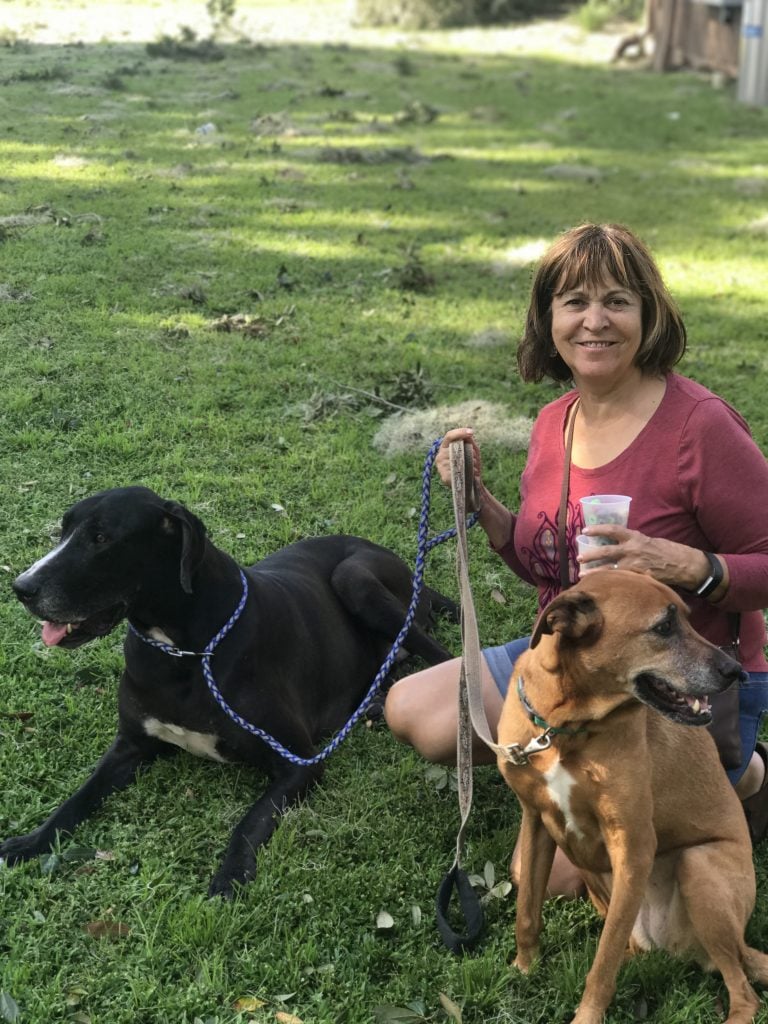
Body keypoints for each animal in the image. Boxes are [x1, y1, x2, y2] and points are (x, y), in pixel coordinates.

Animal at [1, 487, 456, 897]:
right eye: (63, 531)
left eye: (101, 538)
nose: (22, 587)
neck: (183, 650)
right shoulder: (130, 745)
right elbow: (78, 798)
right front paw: (30, 841)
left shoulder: (300, 762)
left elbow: (250, 821)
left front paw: (232, 873)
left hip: (356, 578)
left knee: (442, 655)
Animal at [495, 569, 768, 1024]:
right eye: (665, 627)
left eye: (688, 617)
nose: (737, 672)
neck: (564, 728)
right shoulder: (535, 820)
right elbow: (527, 912)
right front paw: (523, 969)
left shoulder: (633, 844)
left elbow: (601, 967)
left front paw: (586, 1015)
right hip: (600, 886)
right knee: (625, 946)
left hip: (699, 867)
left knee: (743, 992)